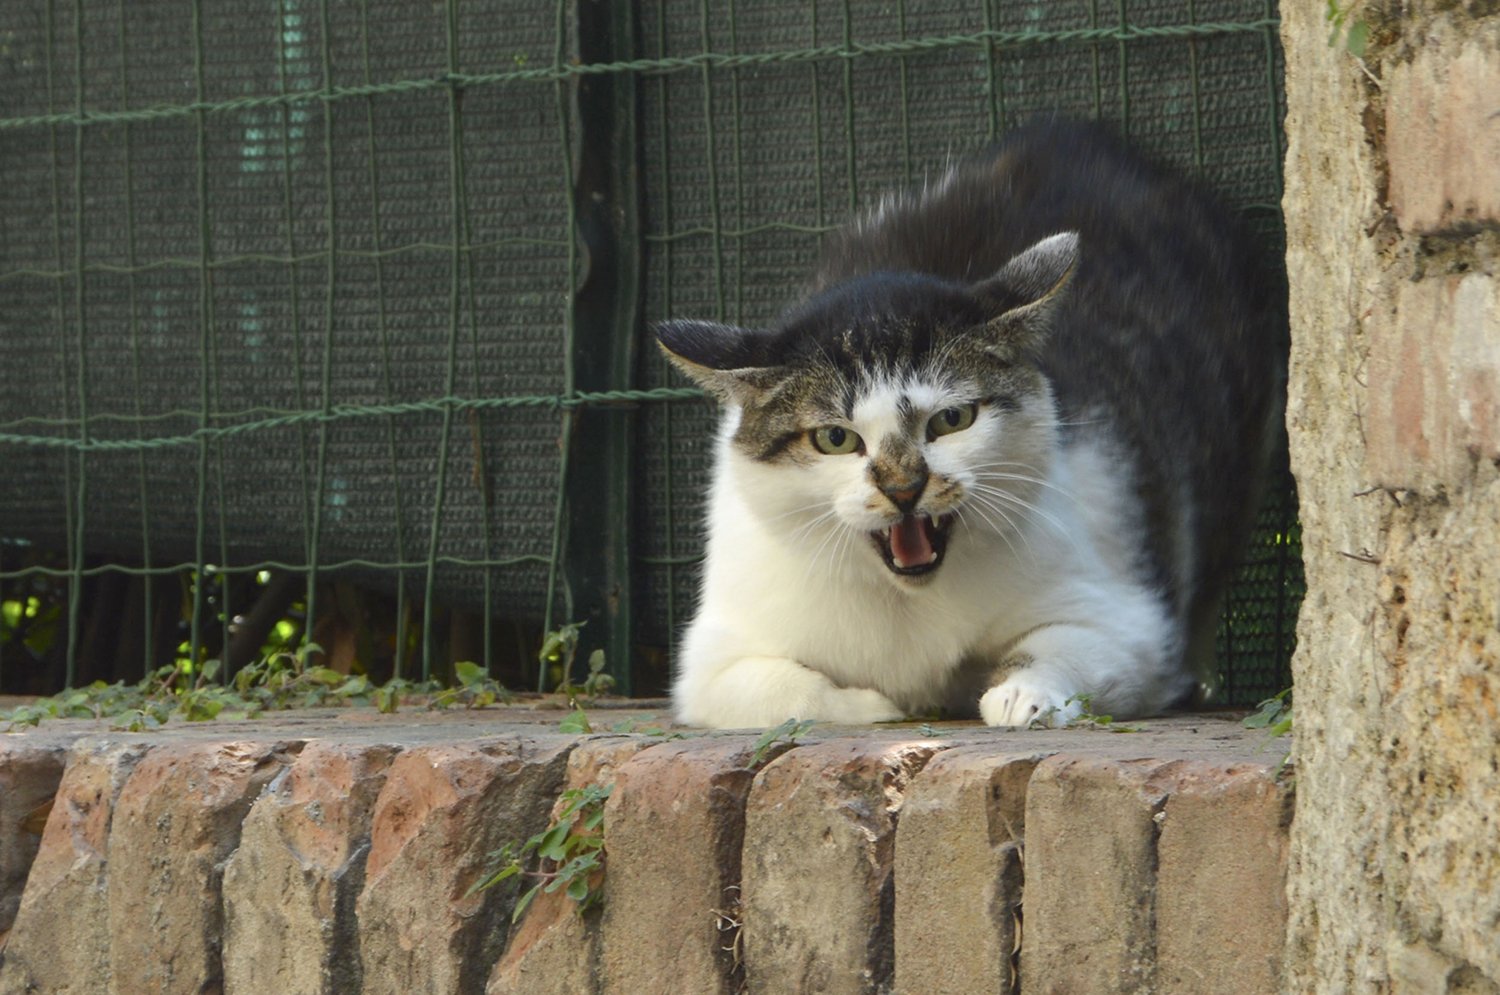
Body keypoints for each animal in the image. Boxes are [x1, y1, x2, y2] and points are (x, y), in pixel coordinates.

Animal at [654, 120, 1278, 732]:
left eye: (953, 419)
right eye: (836, 438)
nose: (904, 488)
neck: (910, 603)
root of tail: (1085, 136)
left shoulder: (1126, 624)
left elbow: (1059, 648)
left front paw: (1022, 695)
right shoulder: (712, 663)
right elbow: (789, 690)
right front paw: (875, 706)